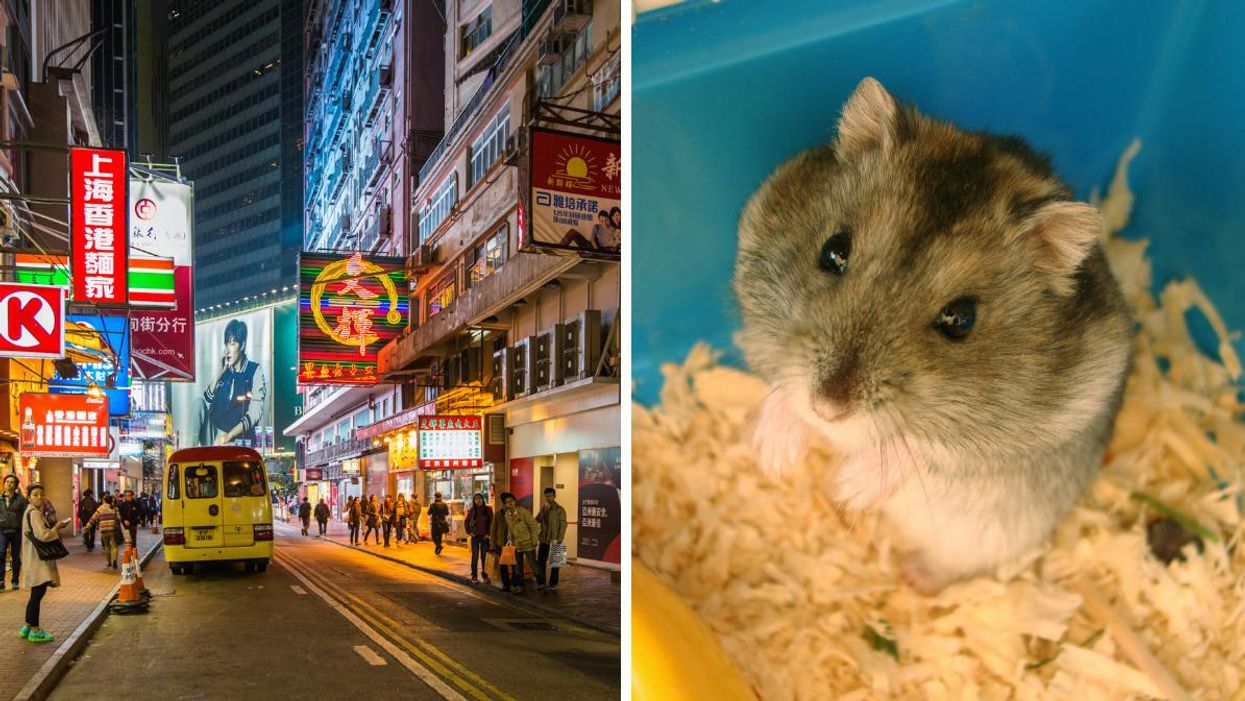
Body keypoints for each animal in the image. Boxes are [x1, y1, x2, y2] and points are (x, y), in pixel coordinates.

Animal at [734, 78, 1133, 594]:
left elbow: (923, 448)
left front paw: (848, 488)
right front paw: (773, 456)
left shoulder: (1041, 426)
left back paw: (912, 575)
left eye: (961, 319)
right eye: (834, 251)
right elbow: (780, 381)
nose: (826, 410)